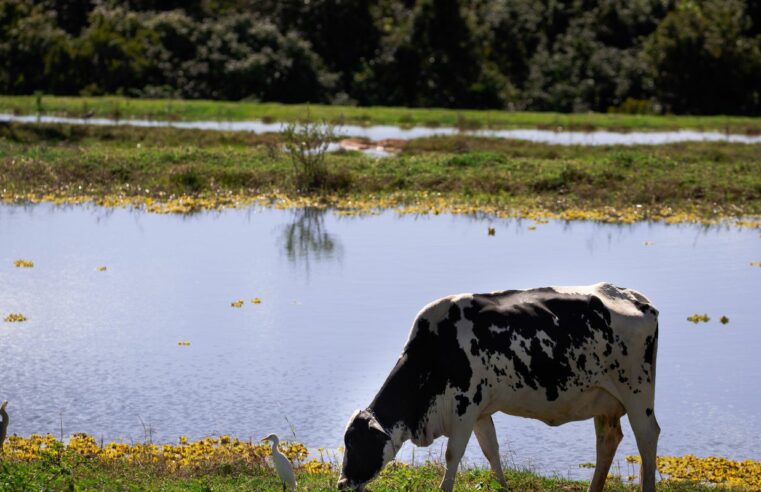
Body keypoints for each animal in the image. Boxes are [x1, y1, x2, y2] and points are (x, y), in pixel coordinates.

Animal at [338, 282, 660, 492]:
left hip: (637, 392)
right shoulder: (480, 411)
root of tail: (632, 296)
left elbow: (453, 455)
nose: (342, 483)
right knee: (607, 440)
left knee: (647, 436)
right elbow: (491, 450)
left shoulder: (464, 407)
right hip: (603, 400)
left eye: (355, 442)